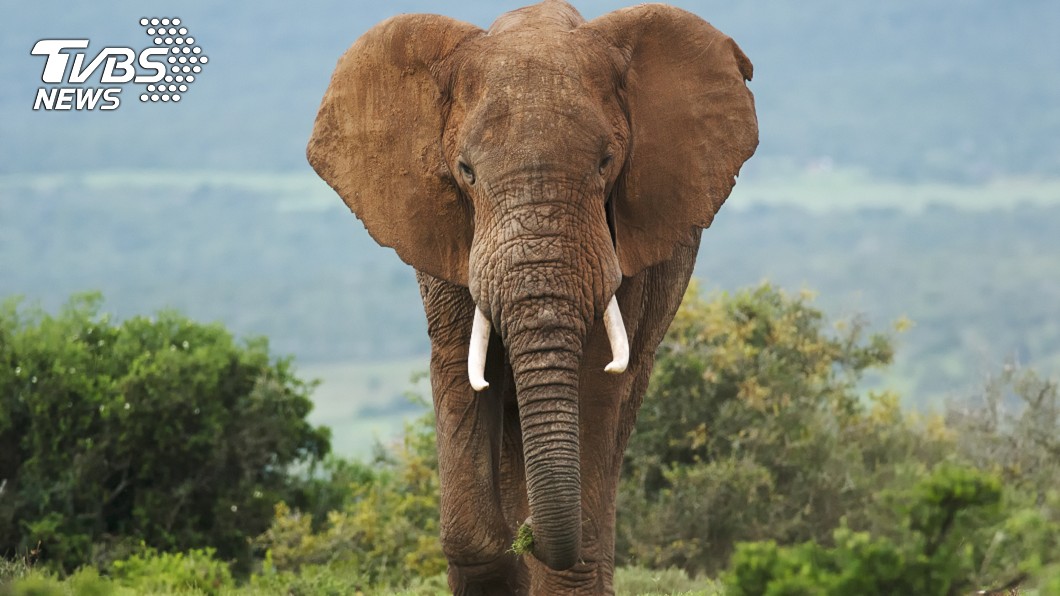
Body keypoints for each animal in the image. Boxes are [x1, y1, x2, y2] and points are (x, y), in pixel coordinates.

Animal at [307, 0, 757, 593]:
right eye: (466, 171)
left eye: (606, 163)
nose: (529, 534)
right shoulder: (449, 237)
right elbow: (460, 366)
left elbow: (596, 377)